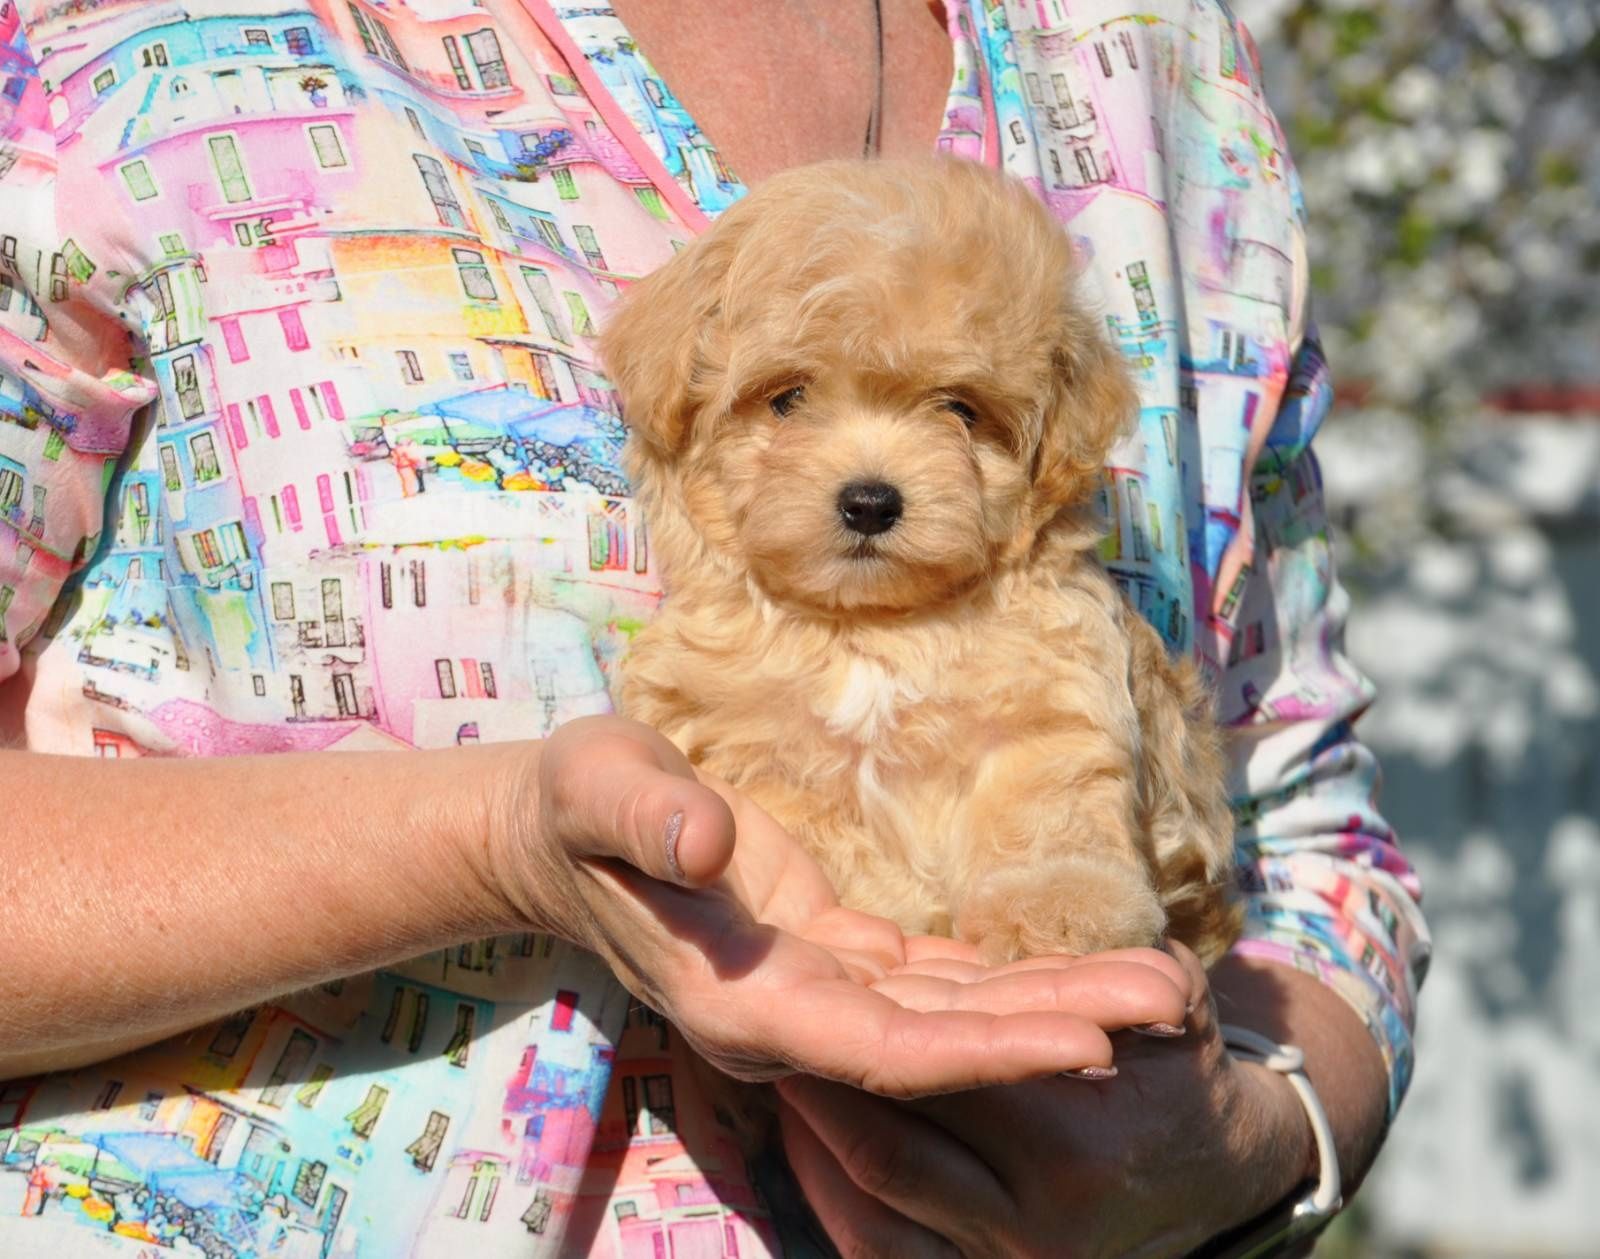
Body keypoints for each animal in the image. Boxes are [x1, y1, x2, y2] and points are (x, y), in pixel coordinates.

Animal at [601, 155, 1235, 966]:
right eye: (788, 398)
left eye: (961, 410)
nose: (871, 502)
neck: (870, 626)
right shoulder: (742, 741)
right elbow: (822, 827)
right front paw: (891, 911)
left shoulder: (1051, 703)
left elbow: (1044, 810)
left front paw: (1061, 906)